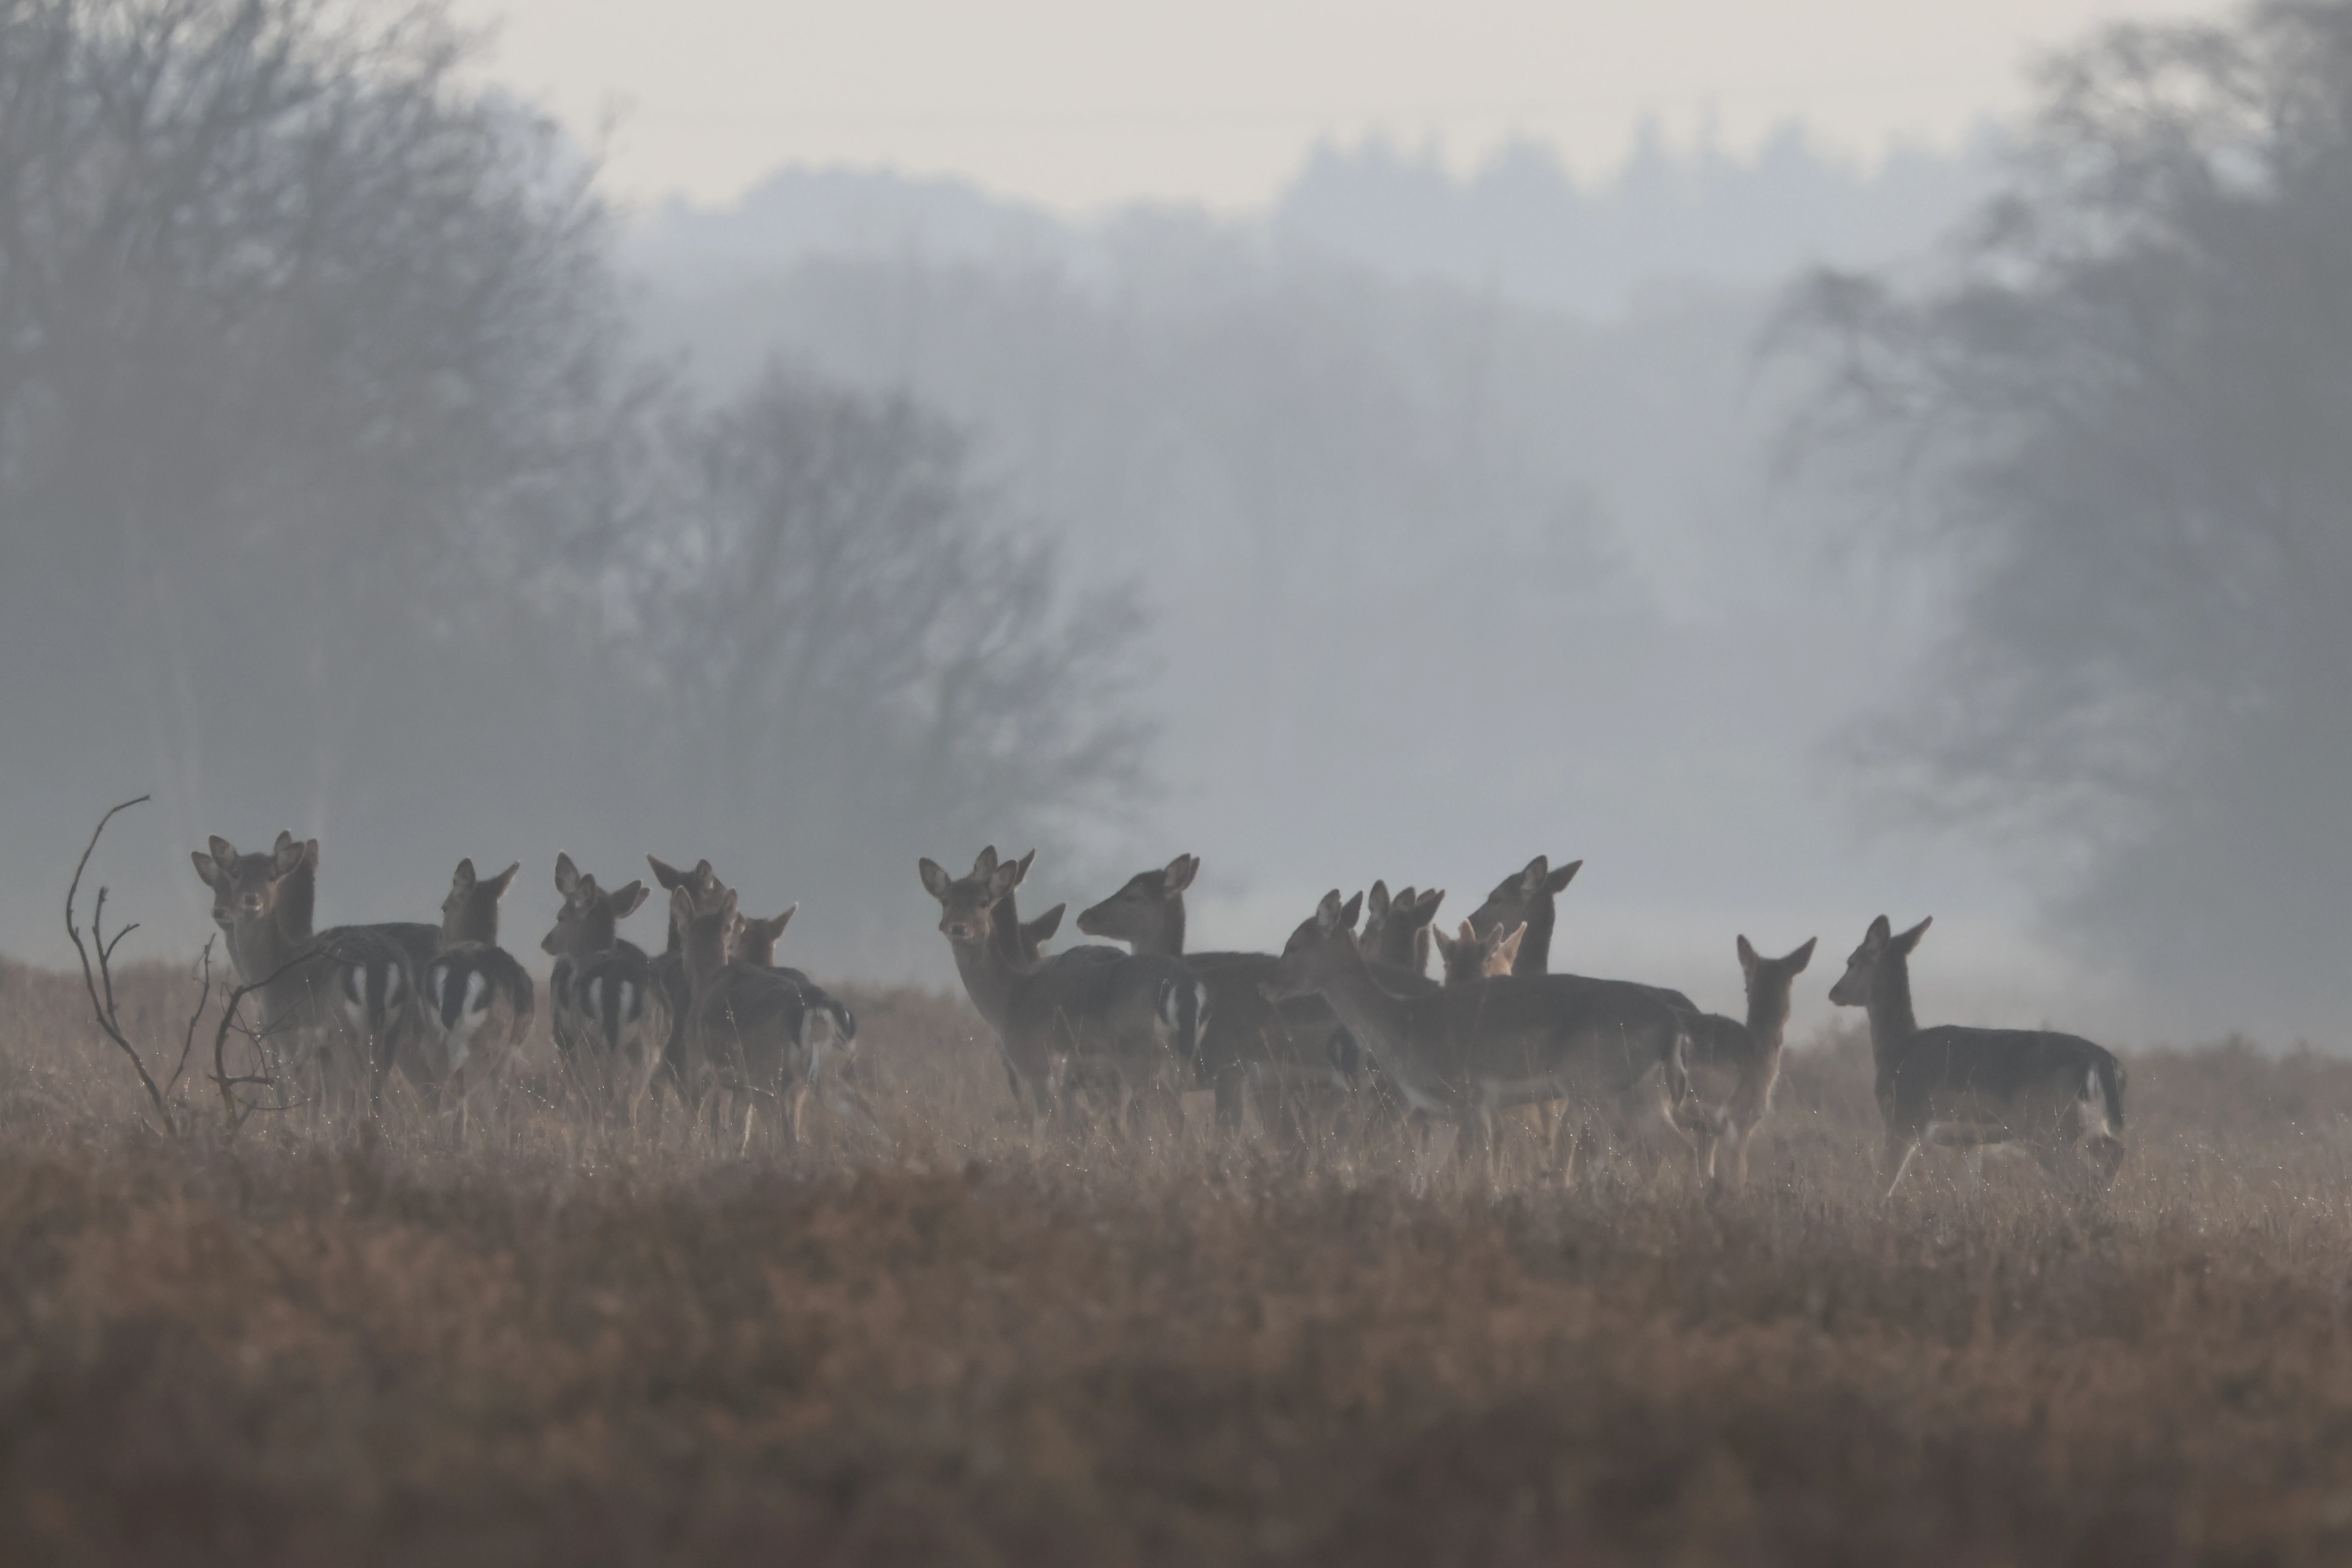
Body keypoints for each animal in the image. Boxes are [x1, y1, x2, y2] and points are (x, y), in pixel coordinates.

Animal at [417, 858, 535, 1136]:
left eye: (444, 908)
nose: (439, 938)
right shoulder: (512, 1048)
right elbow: (501, 1104)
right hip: (487, 1044)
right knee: (465, 1097)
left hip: (432, 1040)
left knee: (440, 1095)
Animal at [540, 854, 669, 1127]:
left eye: (561, 916)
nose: (547, 942)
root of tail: (612, 986)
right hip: (640, 1047)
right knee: (623, 1103)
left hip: (592, 1045)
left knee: (607, 1101)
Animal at [922, 849, 1207, 1143]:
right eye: (945, 901)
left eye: (984, 902)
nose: (958, 928)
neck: (1010, 998)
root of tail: (1183, 987)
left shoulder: (1037, 1065)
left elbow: (1049, 1127)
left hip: (1137, 1057)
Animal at [1264, 890, 1713, 1188]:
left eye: (1294, 944)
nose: (1268, 985)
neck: (1403, 1025)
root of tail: (1674, 1025)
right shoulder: (1442, 1112)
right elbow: (1424, 1176)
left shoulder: (1471, 1099)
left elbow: (1479, 1175)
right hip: (1642, 1091)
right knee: (1682, 1148)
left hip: (1595, 1086)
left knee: (1636, 1153)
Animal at [1828, 915, 2127, 1201]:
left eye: (1852, 962)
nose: (1834, 992)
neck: (1898, 1050)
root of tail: (2104, 1062)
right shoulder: (1969, 1142)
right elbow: (1965, 1192)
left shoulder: (1902, 1120)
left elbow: (1882, 1187)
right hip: (2085, 1127)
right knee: (2114, 1154)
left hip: (2049, 1129)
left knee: (2084, 1179)